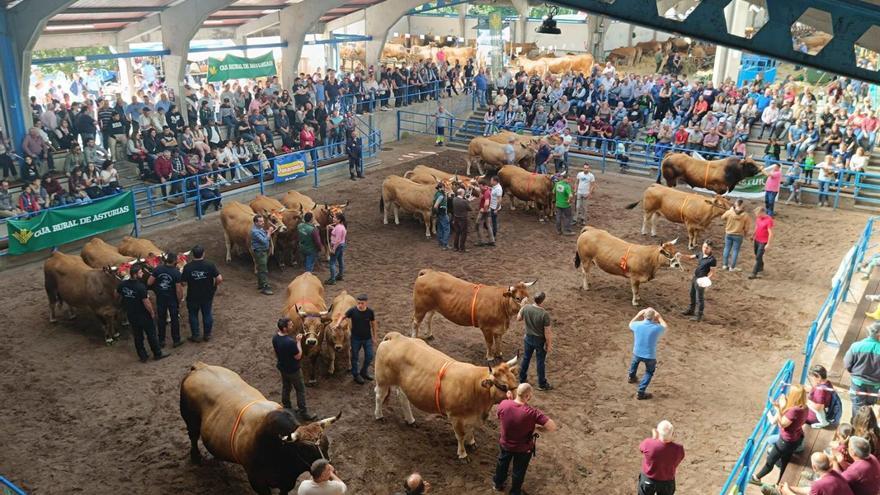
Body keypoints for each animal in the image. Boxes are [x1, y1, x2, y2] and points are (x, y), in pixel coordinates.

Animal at [180, 360, 342, 495]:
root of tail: (200, 367)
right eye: (305, 450)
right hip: (190, 419)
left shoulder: (286, 482)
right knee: (193, 436)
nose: (330, 471)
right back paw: (196, 457)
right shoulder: (256, 481)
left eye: (327, 444)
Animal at [370, 332, 516, 464]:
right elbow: (460, 435)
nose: (517, 401)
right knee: (379, 396)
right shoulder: (456, 417)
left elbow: (470, 430)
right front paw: (462, 454)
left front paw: (471, 442)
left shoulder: (472, 416)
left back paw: (410, 420)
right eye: (503, 386)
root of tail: (396, 336)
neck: (475, 386)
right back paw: (379, 416)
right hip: (383, 380)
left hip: (403, 385)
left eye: (515, 381)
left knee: (402, 397)